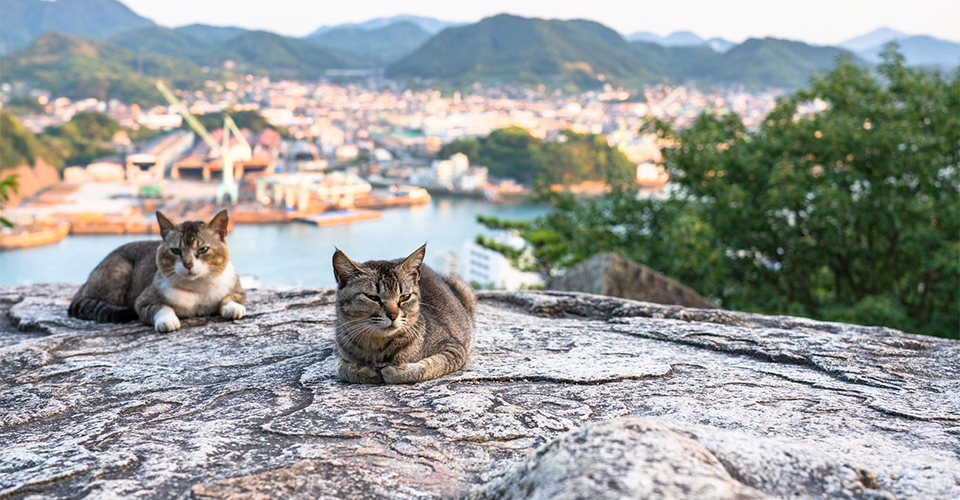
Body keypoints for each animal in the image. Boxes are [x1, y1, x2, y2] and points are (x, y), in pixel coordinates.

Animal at [68, 209, 248, 334]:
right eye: (176, 250)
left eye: (203, 249)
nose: (188, 264)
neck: (197, 288)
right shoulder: (143, 301)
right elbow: (161, 307)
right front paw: (168, 321)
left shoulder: (237, 288)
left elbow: (232, 298)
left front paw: (232, 307)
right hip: (120, 271)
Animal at [334, 244, 476, 384]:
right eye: (372, 297)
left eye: (404, 297)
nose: (393, 315)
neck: (378, 347)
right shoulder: (338, 355)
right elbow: (342, 369)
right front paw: (366, 371)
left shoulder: (454, 348)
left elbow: (429, 366)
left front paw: (394, 370)